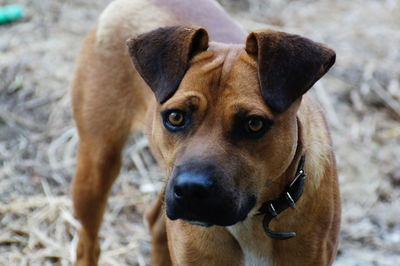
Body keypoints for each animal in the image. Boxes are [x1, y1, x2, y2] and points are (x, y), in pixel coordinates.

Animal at [71, 0, 340, 264]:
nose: (191, 189)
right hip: (97, 164)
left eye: (254, 124)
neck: (251, 223)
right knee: (88, 245)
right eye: (175, 117)